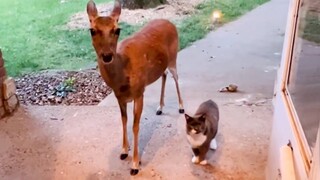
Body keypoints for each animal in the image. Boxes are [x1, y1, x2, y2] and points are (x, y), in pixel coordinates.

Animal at [86, 0, 184, 175]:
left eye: (117, 29)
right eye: (92, 30)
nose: (107, 56)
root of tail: (169, 22)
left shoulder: (139, 92)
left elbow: (135, 126)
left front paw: (135, 164)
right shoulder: (119, 97)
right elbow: (124, 120)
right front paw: (124, 151)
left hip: (174, 57)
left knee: (176, 77)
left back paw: (181, 107)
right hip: (163, 65)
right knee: (164, 74)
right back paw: (160, 107)